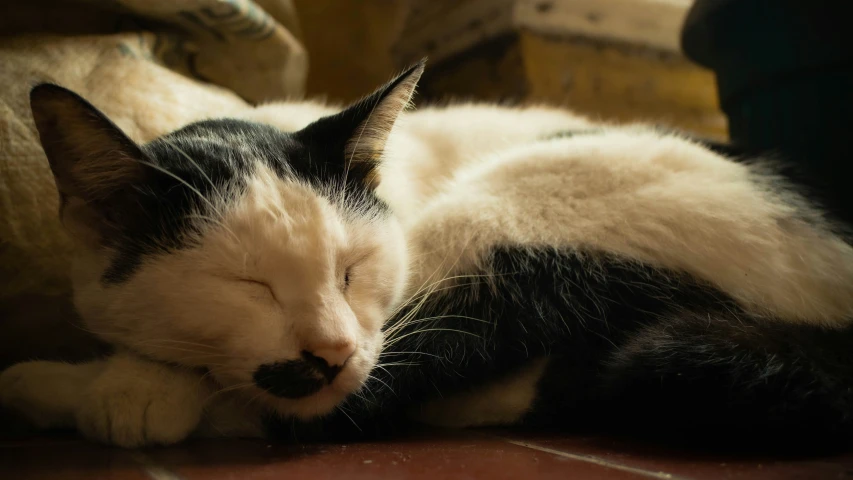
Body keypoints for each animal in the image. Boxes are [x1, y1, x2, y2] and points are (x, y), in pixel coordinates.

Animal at [1, 61, 852, 450]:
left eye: (350, 270)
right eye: (246, 286)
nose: (332, 350)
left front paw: (127, 389)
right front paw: (130, 374)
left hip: (507, 205)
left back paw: (47, 387)